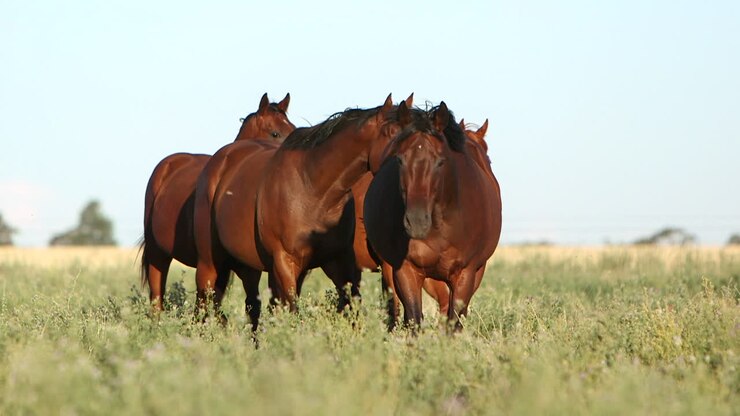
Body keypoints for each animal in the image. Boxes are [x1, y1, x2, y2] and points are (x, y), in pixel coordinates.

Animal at [193, 95, 423, 330]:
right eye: (396, 134)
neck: (313, 190)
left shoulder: (339, 262)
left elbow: (352, 309)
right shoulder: (285, 263)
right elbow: (293, 311)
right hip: (210, 264)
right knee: (203, 304)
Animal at [364, 103, 502, 331]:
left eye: (440, 162)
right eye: (399, 159)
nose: (417, 221)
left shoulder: (466, 274)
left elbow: (454, 321)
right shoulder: (406, 270)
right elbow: (414, 319)